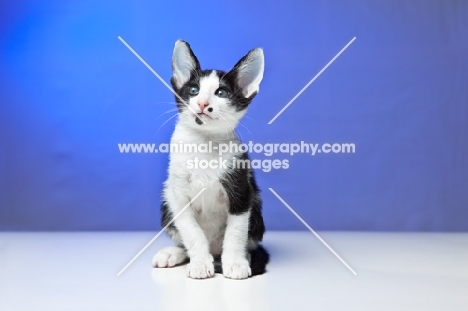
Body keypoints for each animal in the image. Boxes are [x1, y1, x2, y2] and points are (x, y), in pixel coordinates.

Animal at [153, 40, 268, 282]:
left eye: (221, 92)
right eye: (193, 90)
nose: (203, 103)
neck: (204, 143)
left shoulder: (242, 189)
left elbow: (236, 231)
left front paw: (235, 263)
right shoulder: (177, 196)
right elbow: (192, 232)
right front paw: (199, 263)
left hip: (257, 210)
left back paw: (243, 258)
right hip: (166, 202)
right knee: (186, 242)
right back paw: (175, 253)